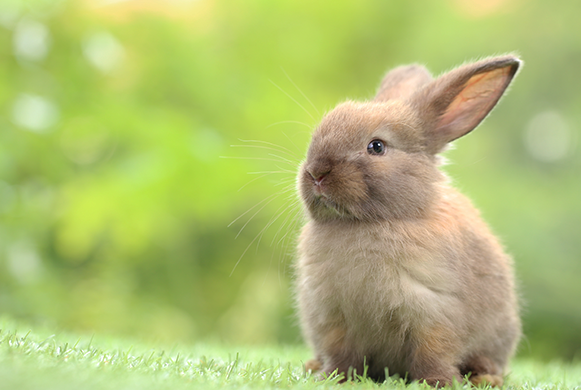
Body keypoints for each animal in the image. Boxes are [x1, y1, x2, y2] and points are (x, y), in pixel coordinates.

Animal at [294, 56, 520, 388]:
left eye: (376, 146)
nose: (317, 172)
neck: (370, 222)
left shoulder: (434, 312)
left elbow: (432, 355)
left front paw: (439, 382)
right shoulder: (332, 318)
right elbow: (341, 356)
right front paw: (332, 378)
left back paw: (486, 378)